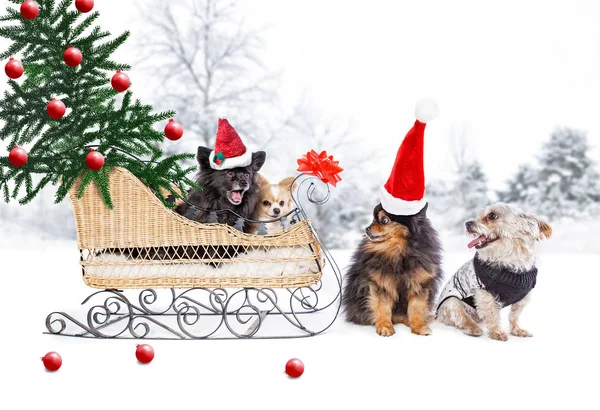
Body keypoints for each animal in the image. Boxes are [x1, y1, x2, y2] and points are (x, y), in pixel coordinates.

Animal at [340, 204, 442, 336]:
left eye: (384, 220)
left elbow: (416, 309)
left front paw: (419, 326)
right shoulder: (382, 285)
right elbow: (383, 309)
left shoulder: (419, 285)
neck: (398, 251)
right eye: (373, 219)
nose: (367, 228)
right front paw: (385, 327)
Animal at [436, 203, 552, 342]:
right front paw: (497, 332)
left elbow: (514, 316)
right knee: (462, 318)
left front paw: (517, 330)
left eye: (492, 215)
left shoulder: (523, 298)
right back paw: (473, 328)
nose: (467, 223)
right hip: (452, 302)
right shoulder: (485, 294)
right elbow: (492, 314)